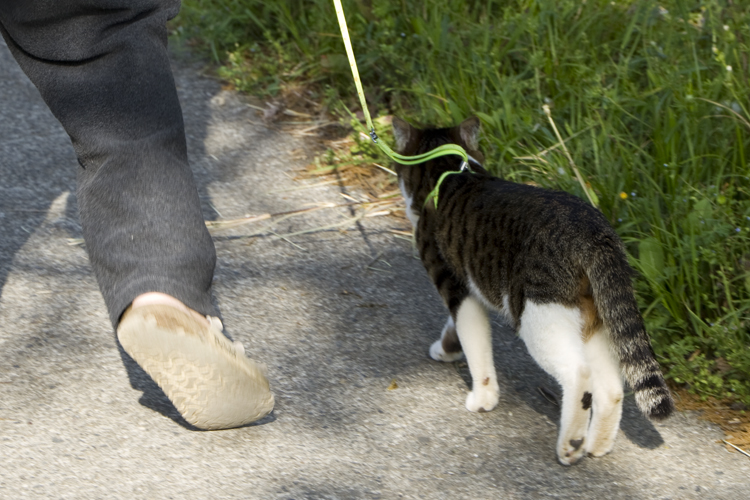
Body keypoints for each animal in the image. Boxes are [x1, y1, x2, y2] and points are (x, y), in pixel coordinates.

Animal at [394, 116, 676, 464]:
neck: (450, 175)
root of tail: (595, 231)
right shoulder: (468, 288)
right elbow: (455, 327)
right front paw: (447, 348)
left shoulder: (454, 283)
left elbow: (475, 343)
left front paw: (483, 397)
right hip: (596, 319)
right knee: (610, 389)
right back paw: (596, 445)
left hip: (538, 316)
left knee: (579, 375)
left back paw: (571, 444)